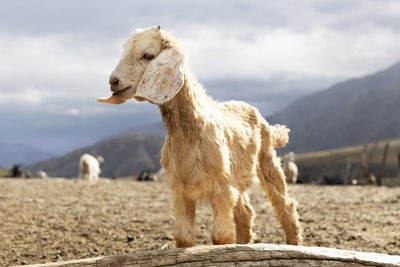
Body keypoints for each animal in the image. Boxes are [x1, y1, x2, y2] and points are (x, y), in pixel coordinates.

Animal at [97, 26, 304, 248]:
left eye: (148, 55)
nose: (113, 81)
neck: (189, 131)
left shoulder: (220, 186)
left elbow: (221, 235)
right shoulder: (180, 189)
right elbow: (183, 236)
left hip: (267, 162)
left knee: (285, 204)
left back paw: (293, 244)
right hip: (237, 176)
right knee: (246, 212)